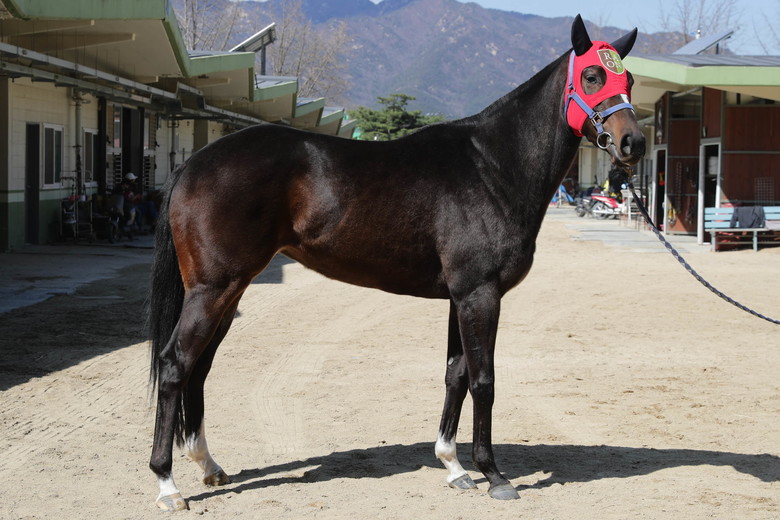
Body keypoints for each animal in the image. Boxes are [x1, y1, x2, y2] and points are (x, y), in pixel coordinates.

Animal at [147, 14, 646, 511]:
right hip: (213, 289)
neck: (491, 168)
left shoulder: (460, 297)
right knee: (175, 365)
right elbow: (483, 379)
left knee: (199, 366)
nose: (633, 143)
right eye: (592, 76)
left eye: (629, 81)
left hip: (229, 291)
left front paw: (454, 466)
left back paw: (209, 466)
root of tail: (193, 163)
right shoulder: (480, 294)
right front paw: (494, 474)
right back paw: (168, 485)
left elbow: (455, 374)